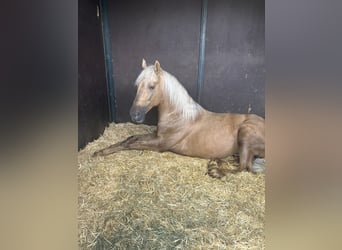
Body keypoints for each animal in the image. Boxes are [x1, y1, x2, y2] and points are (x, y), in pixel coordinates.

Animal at [93, 59, 264, 178]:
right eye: (137, 86)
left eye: (152, 86)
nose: (134, 114)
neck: (179, 117)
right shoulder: (156, 135)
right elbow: (130, 139)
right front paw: (100, 151)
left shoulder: (160, 144)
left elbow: (130, 145)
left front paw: (101, 153)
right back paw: (216, 161)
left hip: (245, 134)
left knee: (245, 167)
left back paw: (216, 171)